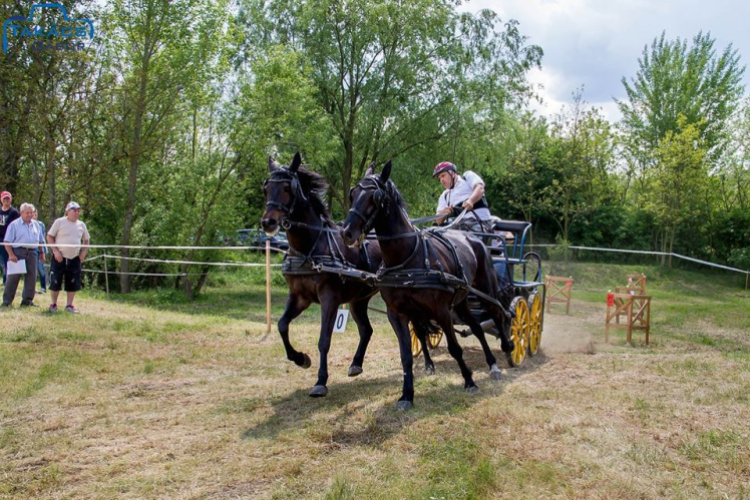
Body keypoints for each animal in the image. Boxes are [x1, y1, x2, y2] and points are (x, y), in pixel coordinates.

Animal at [262, 152, 384, 398]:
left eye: (287, 188)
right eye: (266, 188)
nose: (268, 222)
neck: (310, 248)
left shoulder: (330, 297)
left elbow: (324, 339)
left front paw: (320, 381)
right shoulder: (299, 296)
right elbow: (282, 325)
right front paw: (300, 359)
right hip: (358, 300)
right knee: (366, 330)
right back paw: (356, 364)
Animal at [342, 162, 516, 408]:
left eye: (374, 197)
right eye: (353, 193)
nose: (346, 232)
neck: (407, 258)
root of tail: (474, 237)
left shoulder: (441, 310)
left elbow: (455, 348)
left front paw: (469, 381)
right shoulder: (396, 314)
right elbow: (405, 355)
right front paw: (407, 395)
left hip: (484, 290)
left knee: (498, 314)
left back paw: (507, 350)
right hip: (461, 301)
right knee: (476, 327)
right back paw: (492, 364)